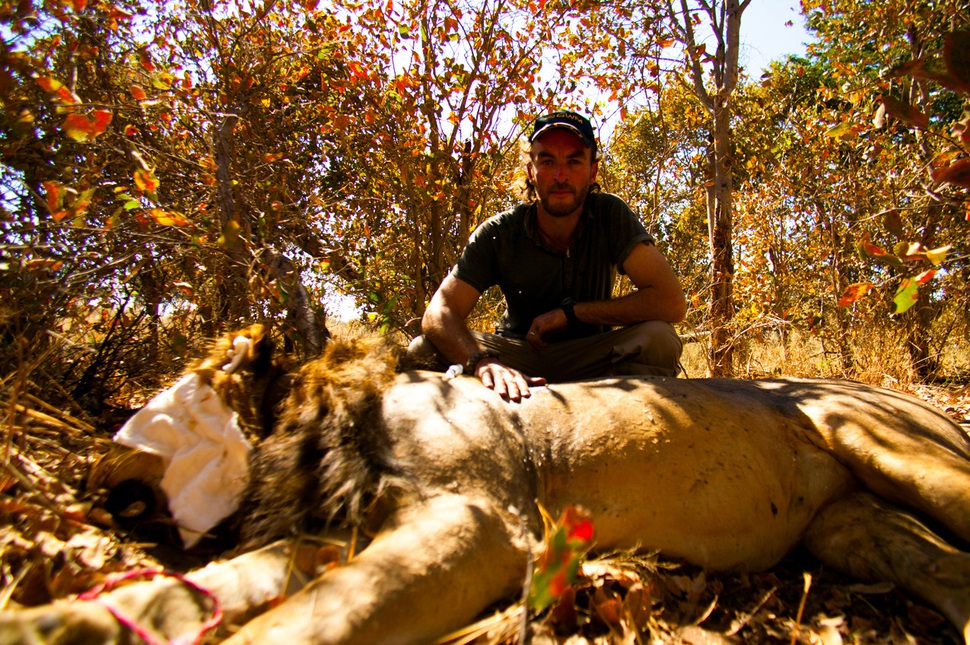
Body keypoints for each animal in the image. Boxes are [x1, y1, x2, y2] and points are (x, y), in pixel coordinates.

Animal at [1, 328, 968, 644]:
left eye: (161, 407)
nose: (92, 471)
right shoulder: (328, 535)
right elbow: (180, 593)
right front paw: (46, 621)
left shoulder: (480, 523)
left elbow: (297, 625)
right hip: (847, 526)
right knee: (941, 569)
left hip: (890, 445)